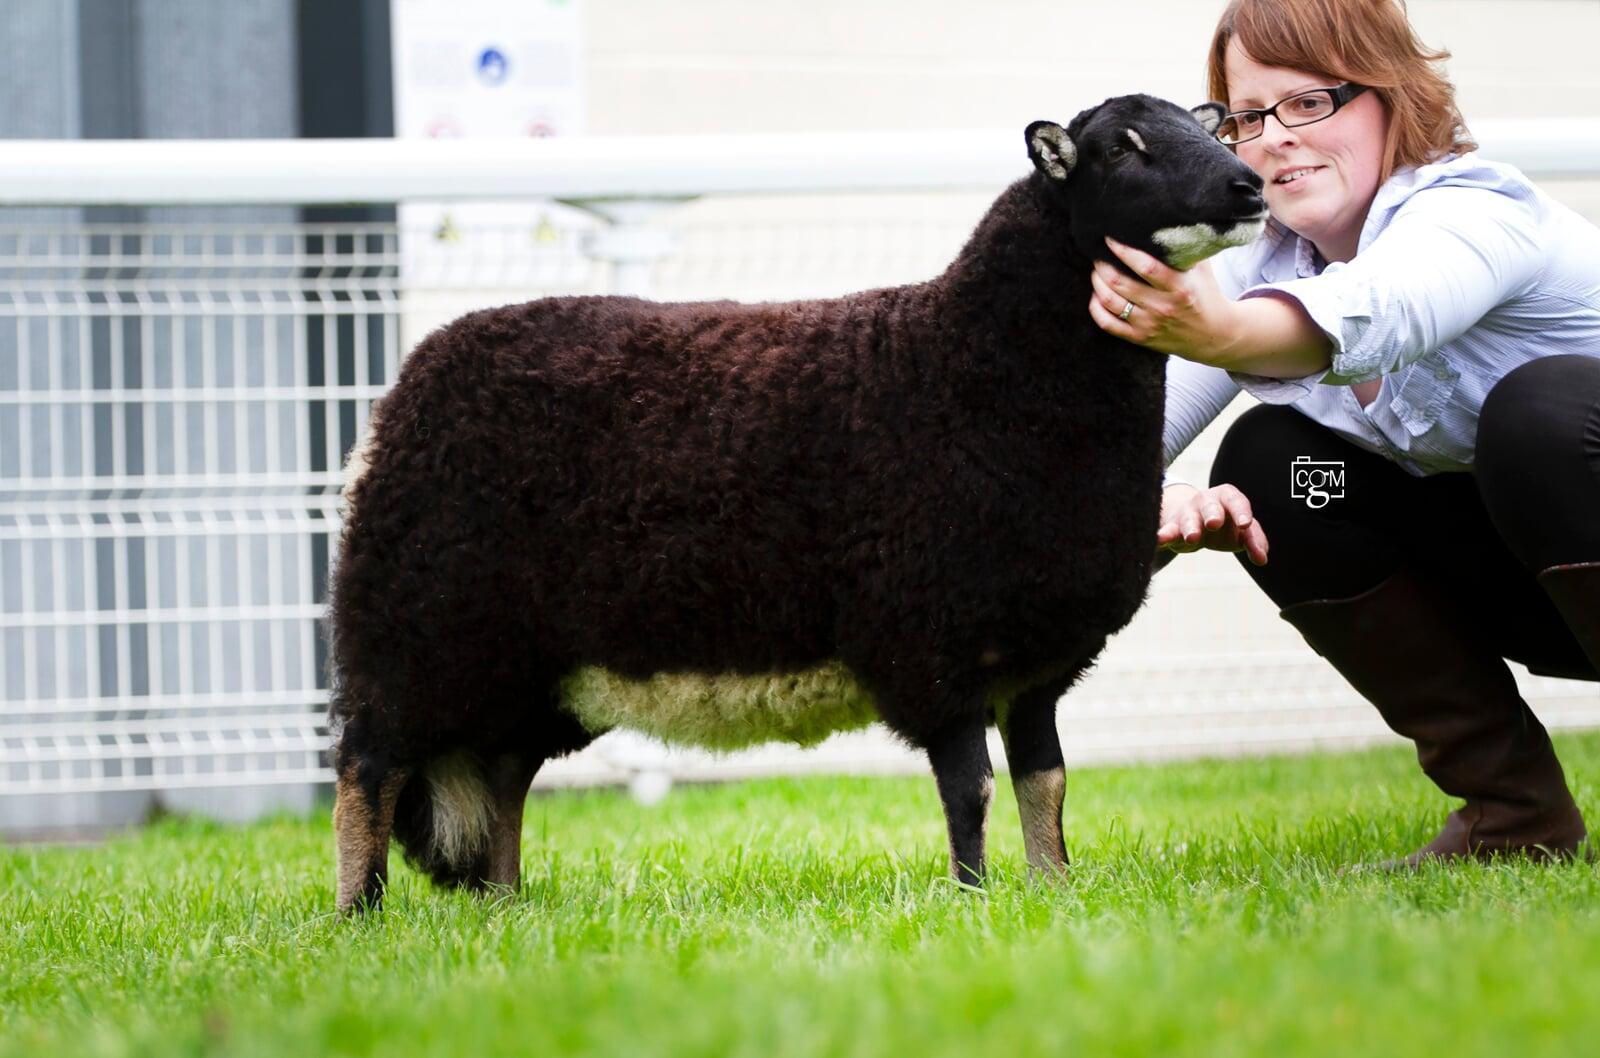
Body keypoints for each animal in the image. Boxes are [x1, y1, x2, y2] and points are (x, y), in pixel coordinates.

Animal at [329, 93, 1267, 911]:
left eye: (1204, 126)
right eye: (1121, 149)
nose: (1249, 188)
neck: (972, 358)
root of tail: (403, 391)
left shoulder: (1035, 661)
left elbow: (1048, 786)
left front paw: (1054, 893)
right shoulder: (936, 645)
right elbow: (971, 790)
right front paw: (975, 900)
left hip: (528, 666)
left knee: (503, 775)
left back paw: (506, 903)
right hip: (419, 624)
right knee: (367, 766)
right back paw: (360, 912)